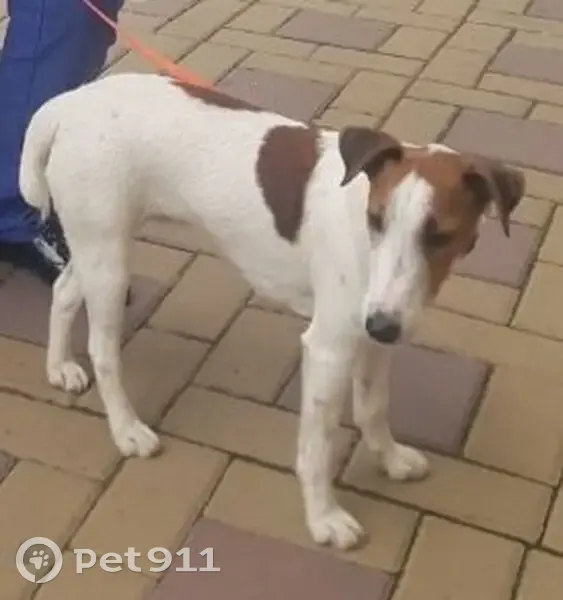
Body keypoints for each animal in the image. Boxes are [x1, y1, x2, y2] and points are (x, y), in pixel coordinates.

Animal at [19, 72, 525, 550]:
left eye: (441, 236)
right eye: (376, 220)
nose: (381, 324)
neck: (358, 223)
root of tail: (70, 101)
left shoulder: (377, 334)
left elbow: (374, 407)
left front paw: (391, 458)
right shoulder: (329, 349)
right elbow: (318, 447)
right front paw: (323, 517)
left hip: (95, 251)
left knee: (64, 291)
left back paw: (59, 367)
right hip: (108, 260)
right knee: (104, 351)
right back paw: (126, 428)